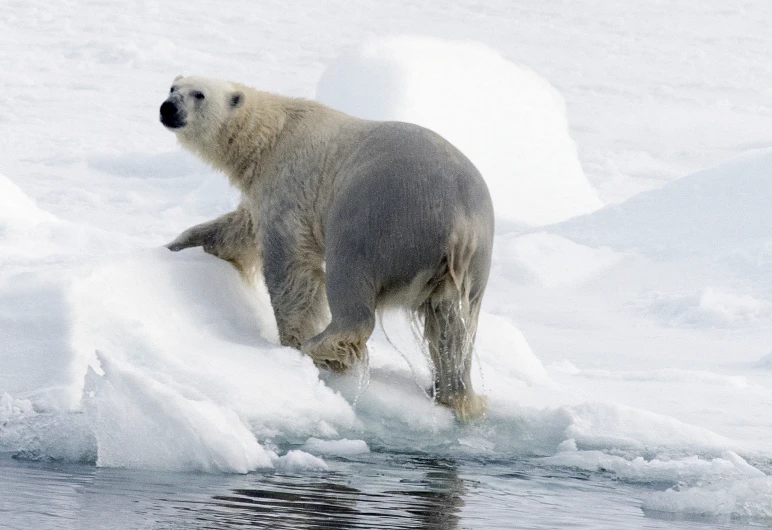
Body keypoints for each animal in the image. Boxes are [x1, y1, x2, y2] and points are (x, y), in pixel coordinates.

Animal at [161, 75, 494, 420]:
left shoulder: (289, 188)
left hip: (380, 222)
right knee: (452, 326)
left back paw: (320, 347)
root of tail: (459, 223)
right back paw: (455, 393)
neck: (272, 136)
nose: (167, 109)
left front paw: (291, 340)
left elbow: (289, 266)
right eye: (172, 88)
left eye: (199, 94)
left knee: (351, 285)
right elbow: (236, 230)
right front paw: (176, 245)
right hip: (475, 262)